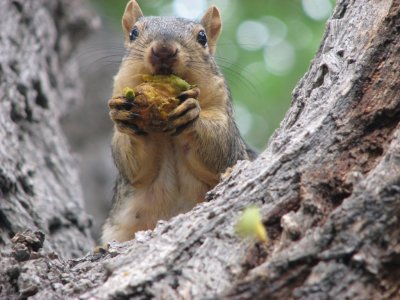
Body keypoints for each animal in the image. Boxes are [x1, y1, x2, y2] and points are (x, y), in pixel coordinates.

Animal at [101, 0, 256, 244]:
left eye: (202, 37)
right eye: (134, 33)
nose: (163, 50)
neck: (166, 133)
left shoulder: (223, 114)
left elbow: (222, 148)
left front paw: (193, 113)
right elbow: (135, 168)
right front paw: (121, 114)